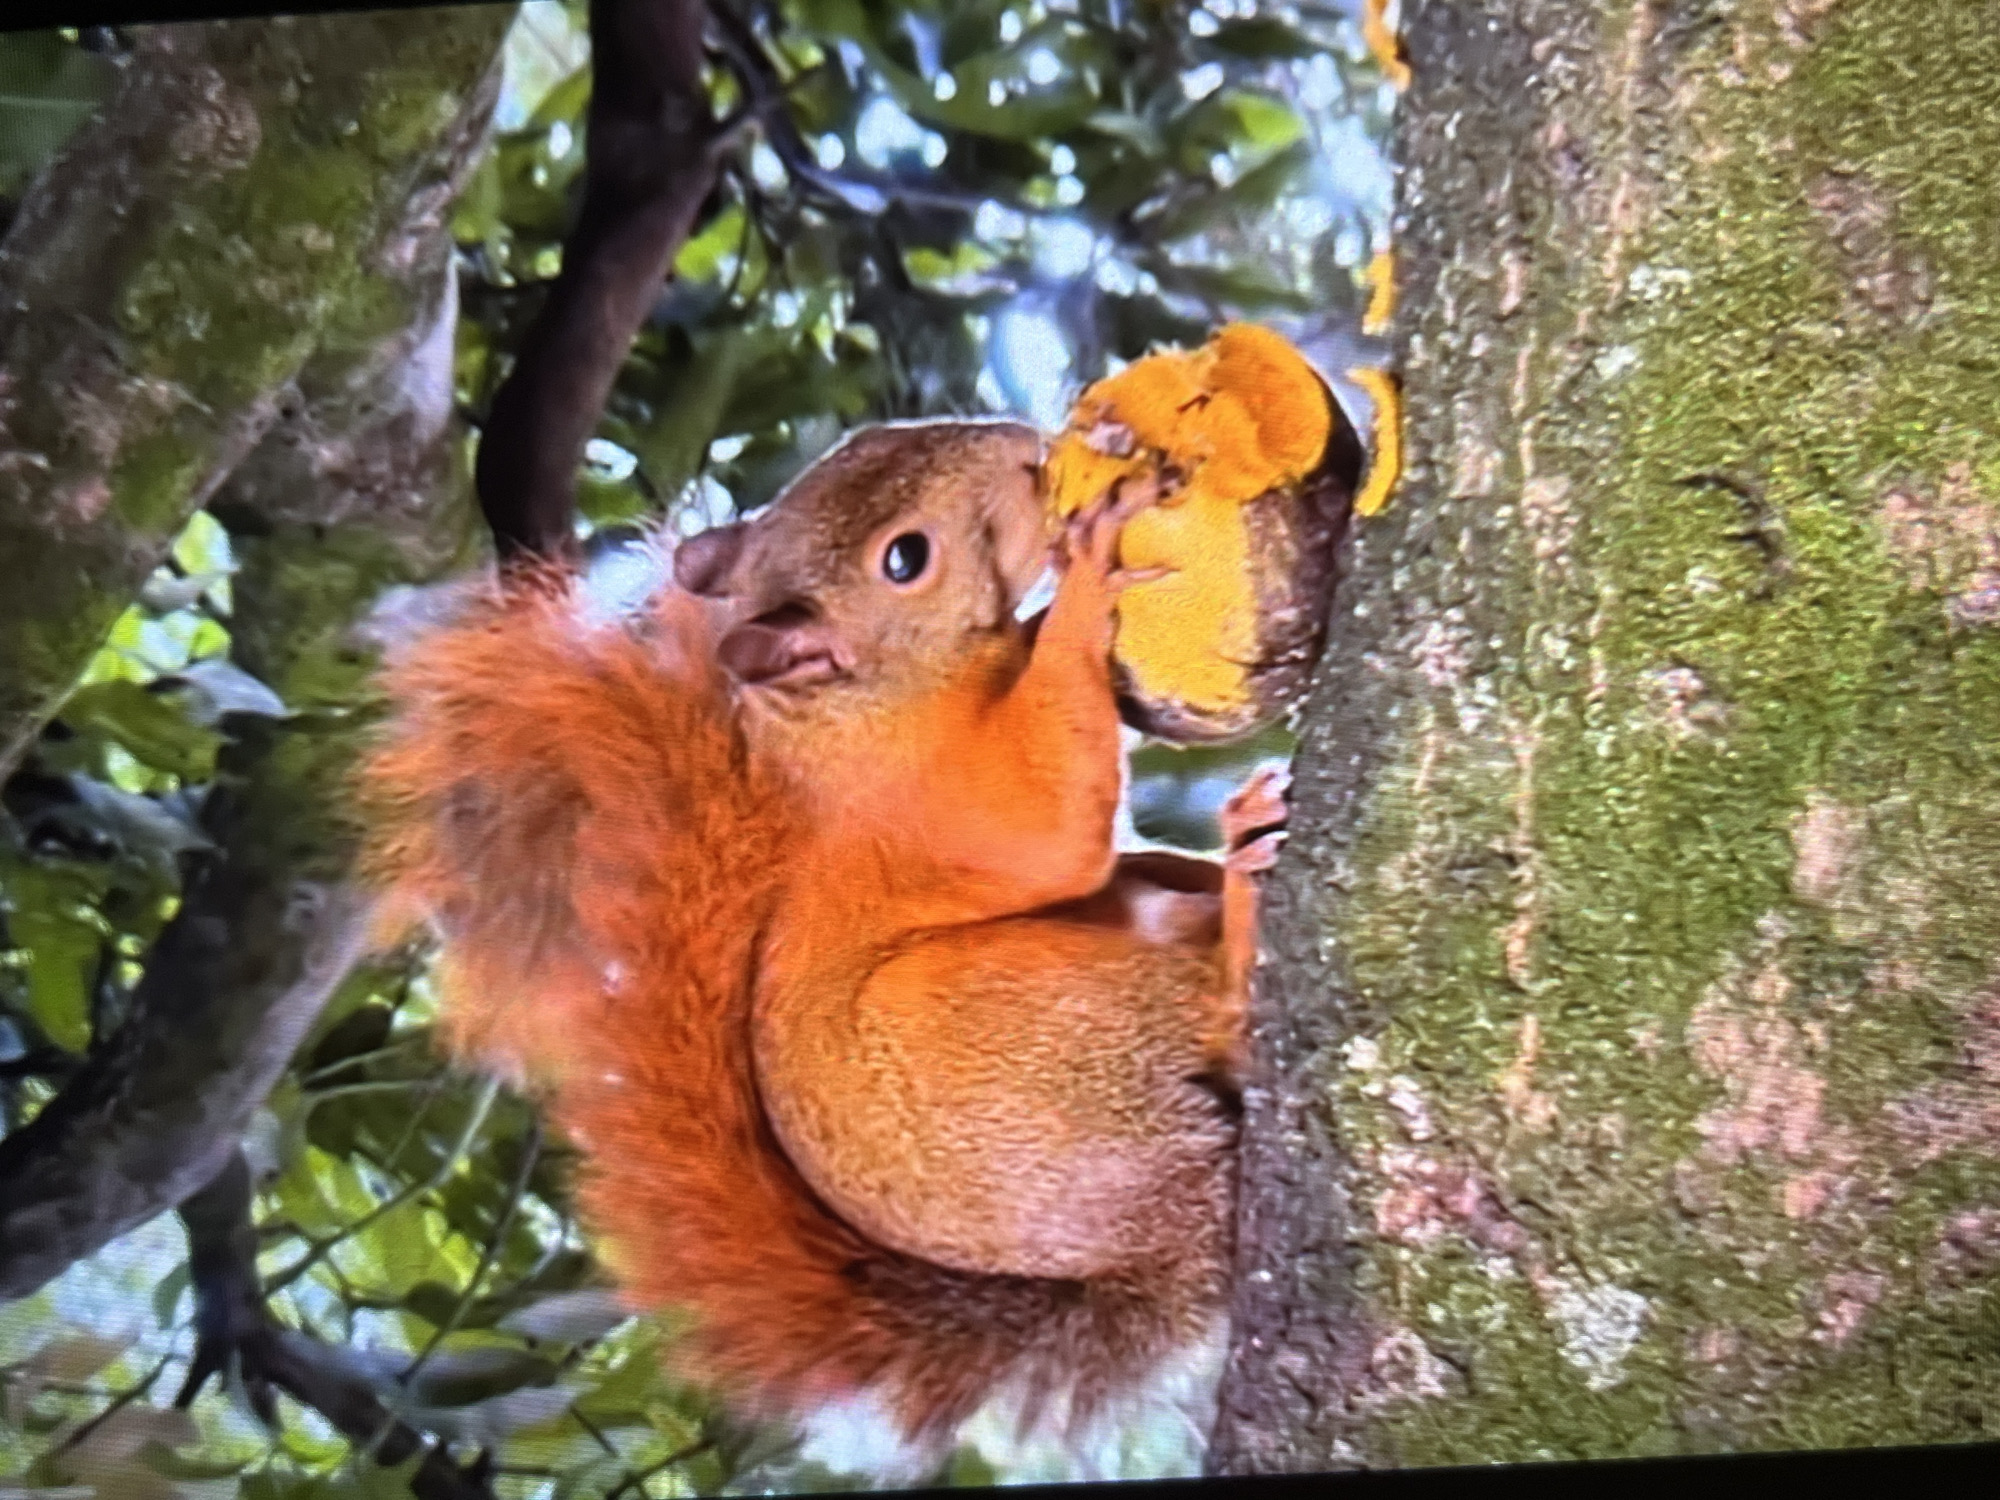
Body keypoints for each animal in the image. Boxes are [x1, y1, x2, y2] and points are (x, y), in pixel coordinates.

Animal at [357, 418, 1289, 1462]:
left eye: (866, 442)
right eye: (905, 559)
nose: (1024, 448)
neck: (869, 708)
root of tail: (1152, 1242)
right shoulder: (943, 804)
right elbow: (1051, 812)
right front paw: (1089, 568)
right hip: (1035, 1031)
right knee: (1216, 1013)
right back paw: (1244, 910)